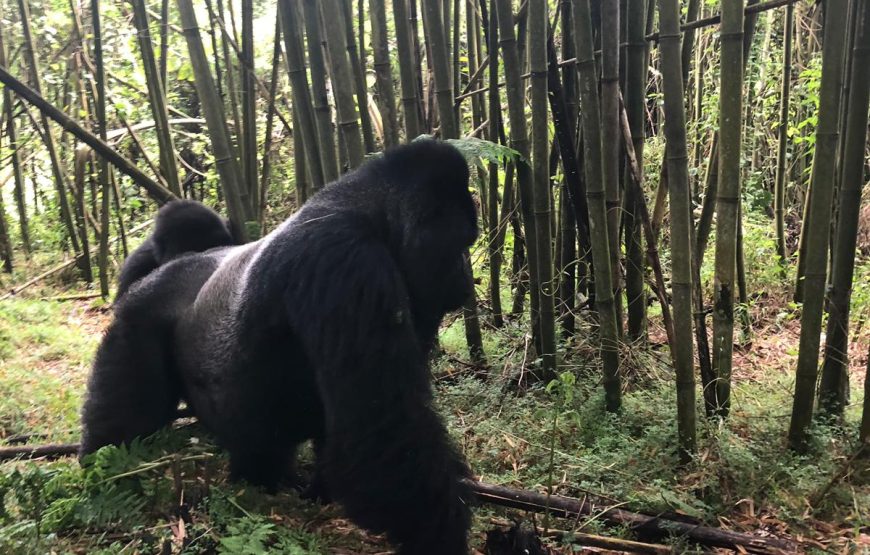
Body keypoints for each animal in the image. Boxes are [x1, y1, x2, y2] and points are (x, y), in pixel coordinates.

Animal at [77, 141, 476, 552]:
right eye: (461, 245)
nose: (466, 279)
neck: (374, 214)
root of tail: (173, 263)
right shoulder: (350, 263)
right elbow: (386, 431)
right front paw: (443, 534)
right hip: (137, 317)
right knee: (126, 417)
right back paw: (107, 468)